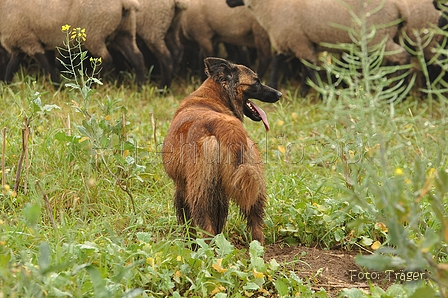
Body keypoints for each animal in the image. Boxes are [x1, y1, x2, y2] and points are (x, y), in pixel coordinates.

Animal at [0, 0, 145, 88]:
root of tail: (124, 2)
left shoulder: (27, 40)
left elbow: (46, 66)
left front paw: (58, 87)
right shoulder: (20, 42)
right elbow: (11, 67)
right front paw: (6, 87)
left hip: (95, 33)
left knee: (107, 59)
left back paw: (90, 83)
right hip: (125, 31)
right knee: (137, 57)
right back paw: (140, 86)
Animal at [161, 56, 282, 244]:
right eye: (256, 82)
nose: (280, 95)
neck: (211, 97)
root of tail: (228, 128)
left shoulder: (182, 186)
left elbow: (188, 224)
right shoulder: (220, 193)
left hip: (200, 192)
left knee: (207, 229)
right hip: (251, 184)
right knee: (255, 225)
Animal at [228, 0, 412, 96]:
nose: (227, 3)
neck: (270, 6)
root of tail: (398, 7)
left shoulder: (295, 39)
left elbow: (309, 67)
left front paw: (323, 94)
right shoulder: (295, 39)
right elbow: (288, 63)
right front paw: (302, 91)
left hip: (378, 37)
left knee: (403, 56)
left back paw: (398, 93)